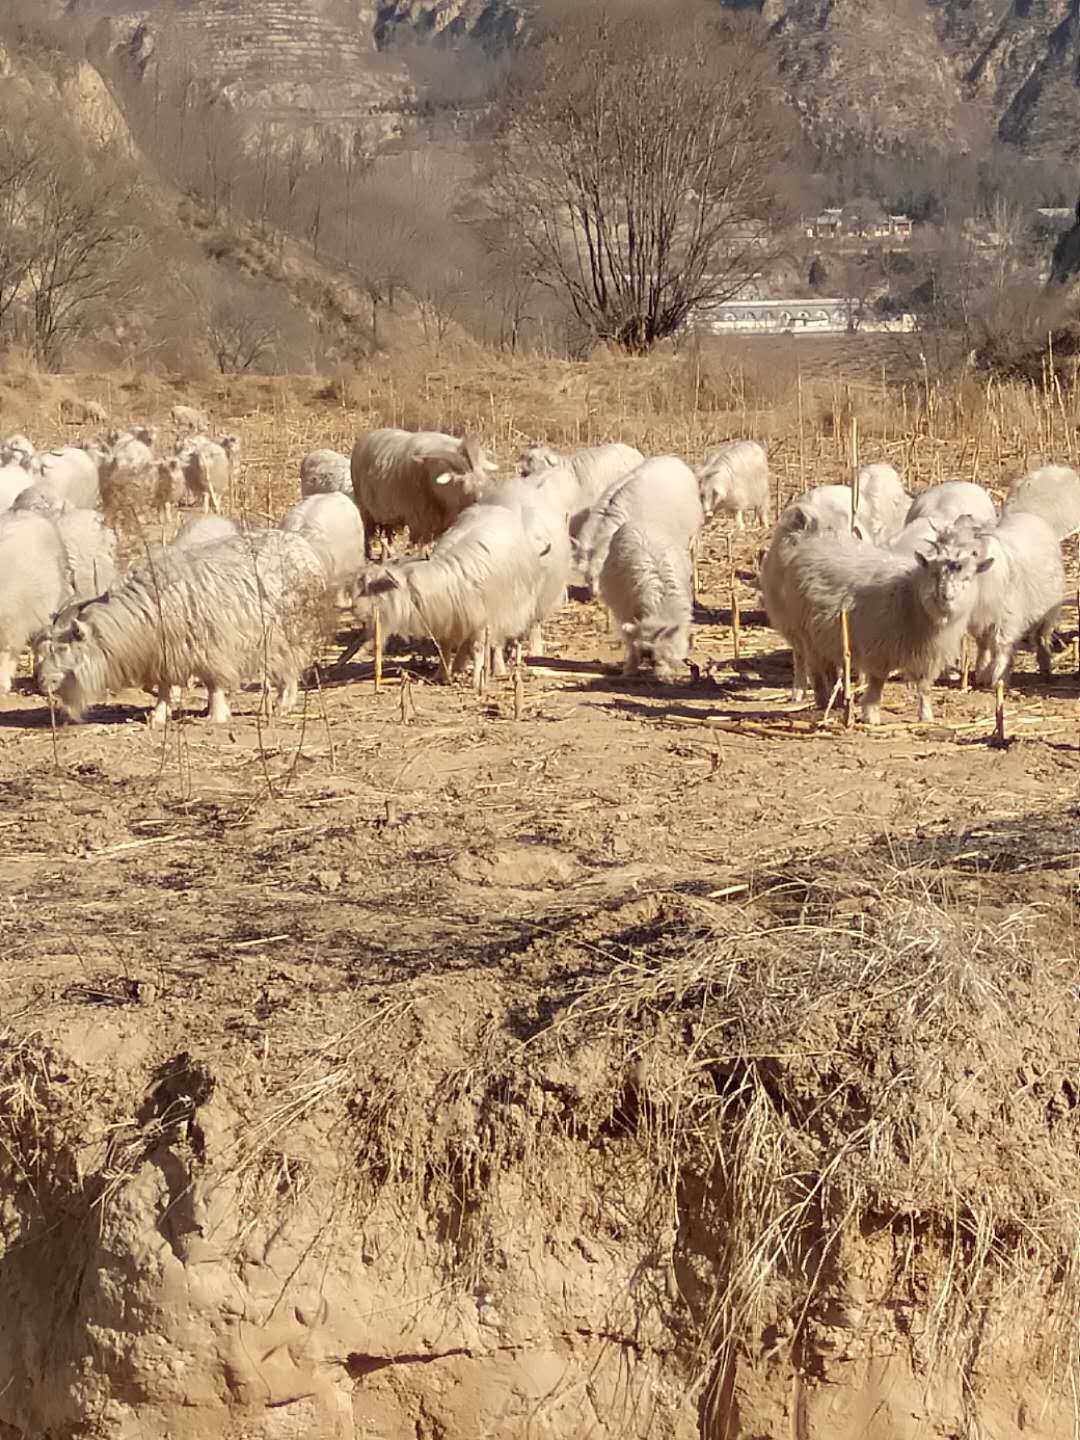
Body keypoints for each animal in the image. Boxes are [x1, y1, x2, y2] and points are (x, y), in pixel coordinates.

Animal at [351, 426, 498, 555]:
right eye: (460, 480)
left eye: (483, 473)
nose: (483, 496)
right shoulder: (417, 521)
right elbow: (416, 544)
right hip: (365, 509)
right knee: (368, 532)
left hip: (387, 513)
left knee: (388, 535)